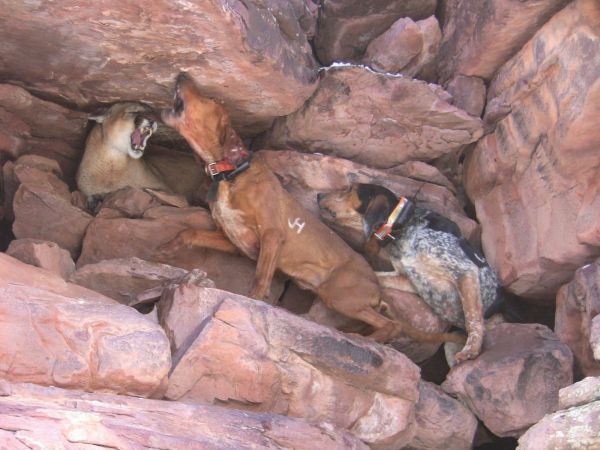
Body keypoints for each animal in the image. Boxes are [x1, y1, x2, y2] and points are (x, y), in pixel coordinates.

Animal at [159, 73, 464, 348]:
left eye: (210, 98)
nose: (182, 74)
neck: (230, 174)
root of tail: (377, 286)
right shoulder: (234, 240)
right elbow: (189, 232)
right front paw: (168, 248)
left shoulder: (272, 235)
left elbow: (260, 279)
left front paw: (253, 300)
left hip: (338, 294)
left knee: (391, 325)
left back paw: (366, 339)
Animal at [318, 183, 502, 362]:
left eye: (349, 189)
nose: (319, 195)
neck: (406, 226)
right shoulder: (410, 280)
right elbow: (376, 276)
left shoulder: (465, 270)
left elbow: (473, 318)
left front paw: (471, 350)